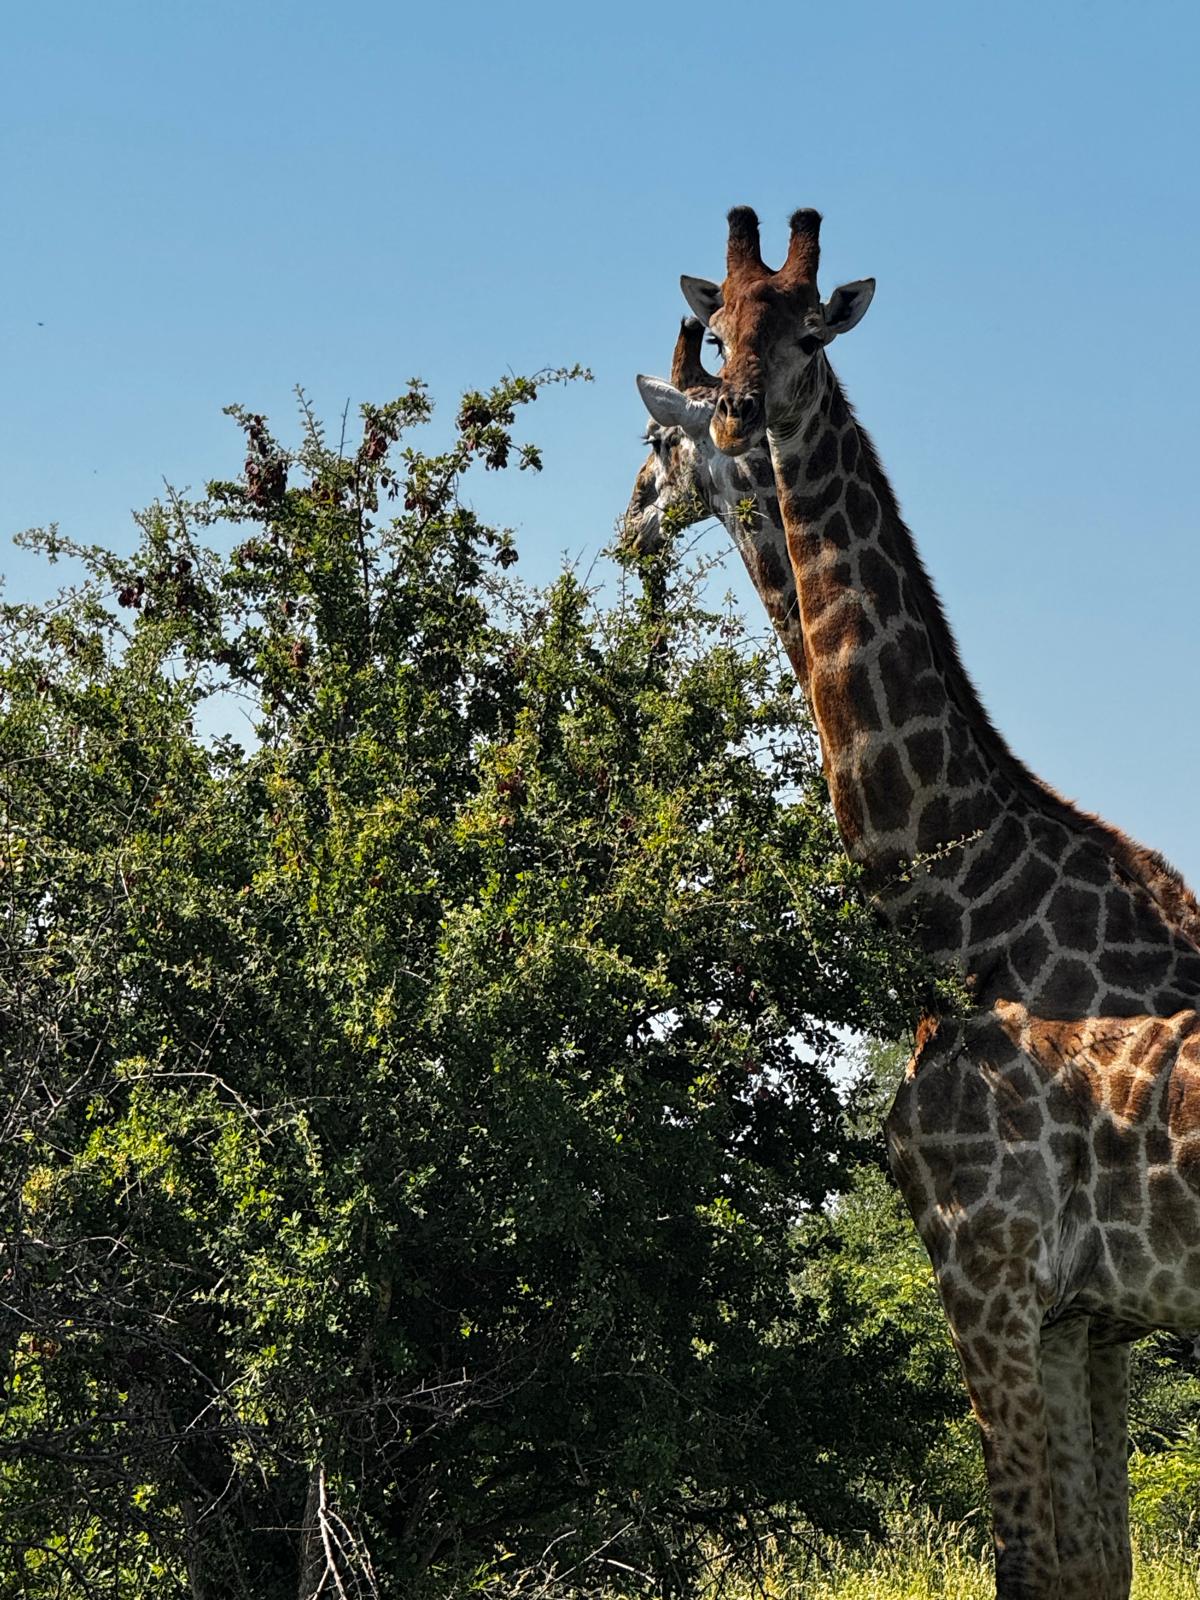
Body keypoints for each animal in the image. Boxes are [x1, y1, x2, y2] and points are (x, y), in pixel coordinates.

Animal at [677, 204, 1200, 1600]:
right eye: (717, 327)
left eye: (810, 330)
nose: (736, 416)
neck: (976, 914)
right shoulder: (1087, 1312)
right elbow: (1091, 1563)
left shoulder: (996, 1269)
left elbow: (1039, 1561)